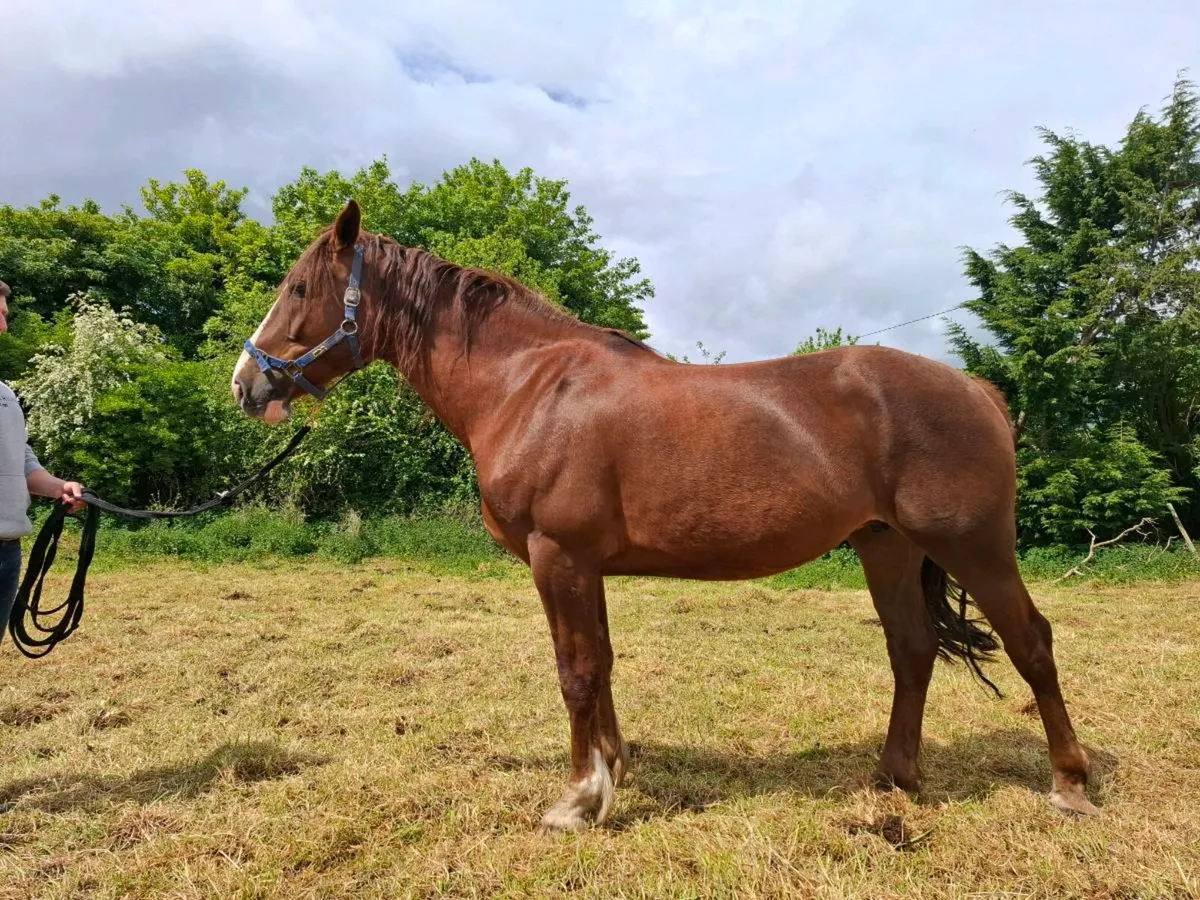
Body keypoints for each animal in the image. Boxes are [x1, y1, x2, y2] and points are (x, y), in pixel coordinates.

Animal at [231, 199, 1099, 832]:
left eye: (298, 289)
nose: (247, 382)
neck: (527, 386)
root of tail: (978, 390)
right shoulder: (584, 565)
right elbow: (602, 663)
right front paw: (611, 769)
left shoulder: (558, 554)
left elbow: (576, 671)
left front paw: (579, 800)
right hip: (886, 547)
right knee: (912, 651)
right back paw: (893, 777)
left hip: (973, 546)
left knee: (1033, 644)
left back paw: (1069, 785)